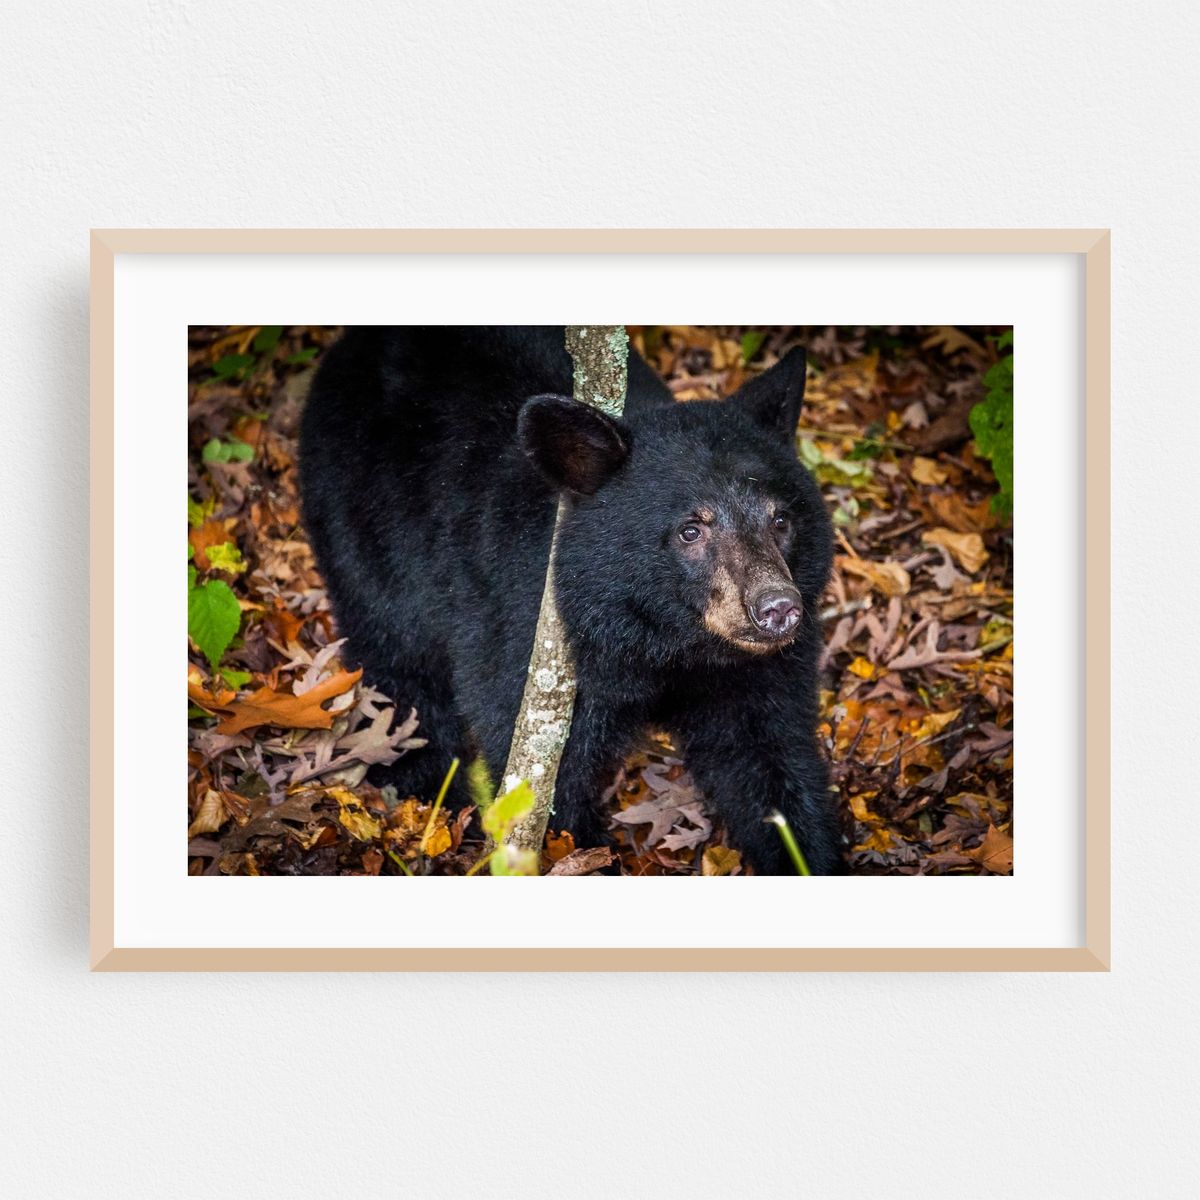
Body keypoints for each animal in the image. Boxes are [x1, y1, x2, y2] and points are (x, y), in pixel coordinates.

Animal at [298, 326, 842, 874]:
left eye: (781, 520)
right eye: (691, 530)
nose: (777, 608)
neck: (664, 640)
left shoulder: (751, 672)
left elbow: (768, 759)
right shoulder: (523, 638)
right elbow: (548, 780)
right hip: (365, 530)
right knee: (396, 660)